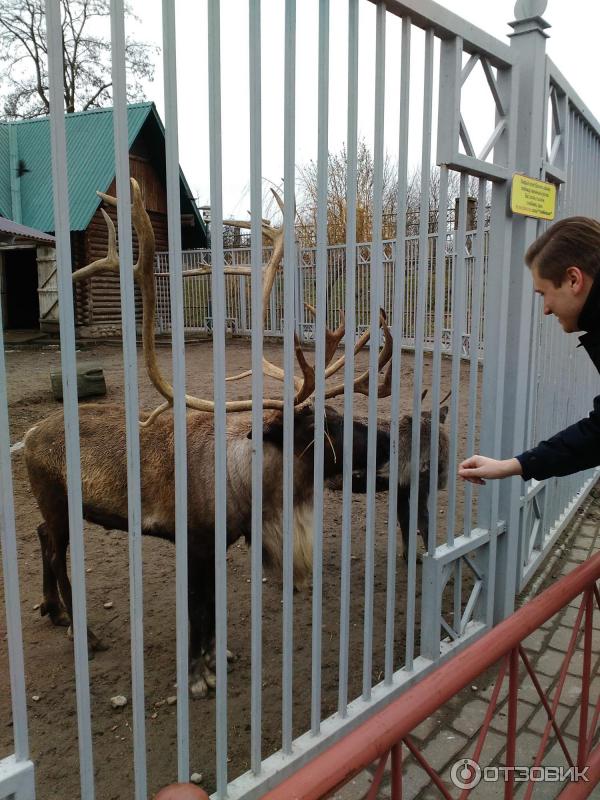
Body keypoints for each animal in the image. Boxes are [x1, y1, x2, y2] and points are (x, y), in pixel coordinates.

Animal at [23, 178, 396, 696]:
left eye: (337, 413)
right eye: (321, 429)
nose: (386, 437)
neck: (242, 484)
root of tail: (28, 434)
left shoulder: (222, 542)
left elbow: (214, 607)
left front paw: (221, 657)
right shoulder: (193, 540)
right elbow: (197, 609)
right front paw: (199, 674)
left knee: (41, 537)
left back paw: (53, 611)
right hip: (58, 502)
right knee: (58, 554)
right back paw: (84, 630)